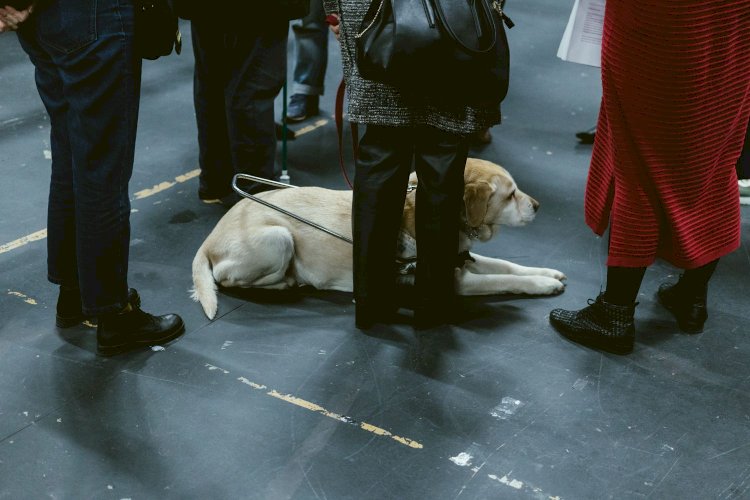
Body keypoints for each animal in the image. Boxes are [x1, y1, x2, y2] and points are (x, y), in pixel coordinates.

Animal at [191, 158, 568, 318]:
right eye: (511, 195)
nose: (538, 205)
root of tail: (207, 239)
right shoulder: (454, 281)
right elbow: (504, 279)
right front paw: (543, 285)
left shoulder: (463, 259)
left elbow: (508, 265)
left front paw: (547, 273)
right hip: (279, 237)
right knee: (228, 279)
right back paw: (286, 282)